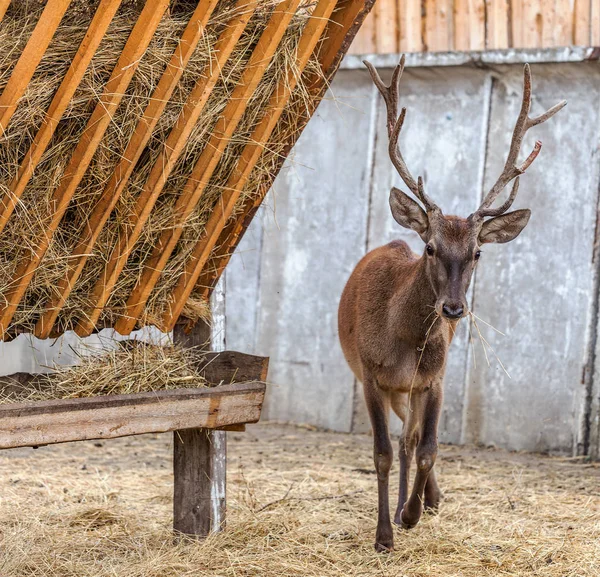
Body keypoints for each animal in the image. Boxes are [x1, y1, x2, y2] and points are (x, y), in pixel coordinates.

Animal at [340, 56, 564, 552]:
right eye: (430, 248)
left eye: (477, 252)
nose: (454, 310)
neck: (401, 339)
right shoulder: (370, 375)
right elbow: (381, 453)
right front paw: (384, 535)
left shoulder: (434, 379)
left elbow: (428, 448)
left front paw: (412, 513)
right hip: (388, 387)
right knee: (400, 440)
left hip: (413, 388)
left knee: (413, 438)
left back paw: (425, 500)